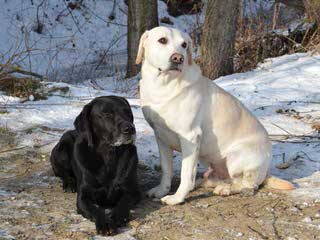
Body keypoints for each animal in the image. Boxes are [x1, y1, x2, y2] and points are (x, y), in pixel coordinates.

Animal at [50, 95, 140, 234]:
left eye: (128, 112)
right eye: (107, 114)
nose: (130, 129)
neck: (109, 155)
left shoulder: (133, 191)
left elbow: (123, 203)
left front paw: (116, 217)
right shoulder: (83, 197)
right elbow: (96, 209)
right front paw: (105, 224)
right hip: (62, 148)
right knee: (61, 172)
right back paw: (69, 183)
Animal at [136, 26, 294, 206]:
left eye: (184, 45)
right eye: (162, 40)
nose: (178, 58)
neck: (163, 86)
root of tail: (266, 171)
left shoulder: (190, 137)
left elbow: (185, 174)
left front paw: (177, 198)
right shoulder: (161, 136)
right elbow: (166, 169)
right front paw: (162, 190)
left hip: (236, 157)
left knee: (248, 185)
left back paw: (226, 189)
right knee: (221, 179)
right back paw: (206, 182)